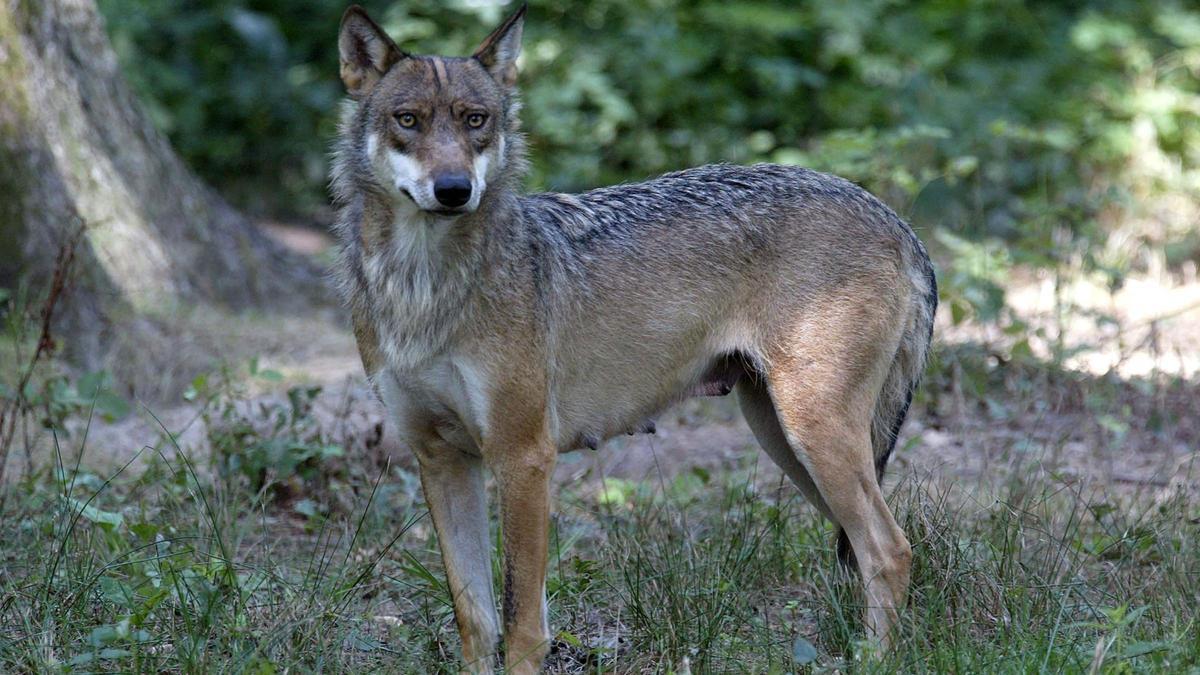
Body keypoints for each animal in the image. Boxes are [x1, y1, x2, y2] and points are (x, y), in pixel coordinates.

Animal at [331, 3, 936, 667]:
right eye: (407, 120)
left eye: (475, 120)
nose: (454, 190)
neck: (422, 286)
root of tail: (895, 220)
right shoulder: (442, 460)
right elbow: (475, 618)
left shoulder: (524, 458)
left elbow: (521, 623)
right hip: (787, 440)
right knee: (867, 548)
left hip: (814, 436)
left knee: (891, 549)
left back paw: (873, 657)